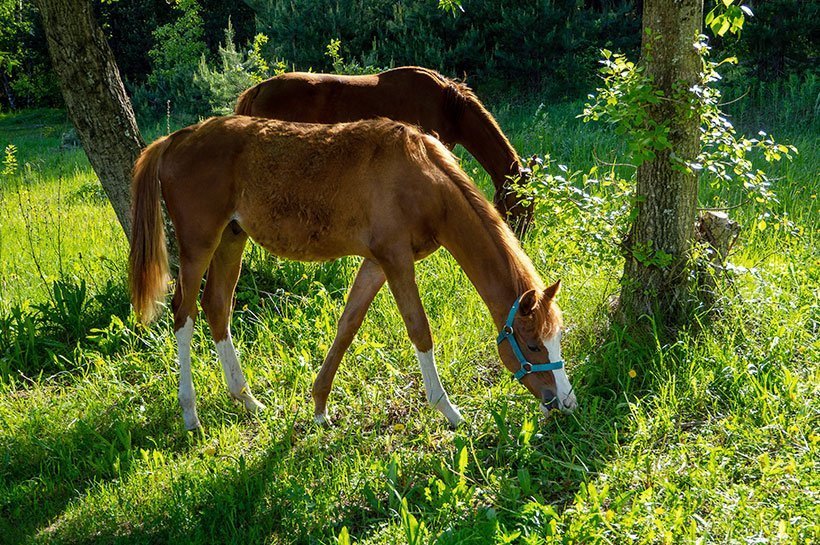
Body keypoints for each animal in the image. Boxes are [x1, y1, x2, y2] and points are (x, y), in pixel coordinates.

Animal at [130, 116, 576, 430]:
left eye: (557, 341)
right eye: (532, 345)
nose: (566, 402)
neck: (421, 177)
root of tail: (175, 140)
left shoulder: (376, 263)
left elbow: (347, 325)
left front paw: (319, 407)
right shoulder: (395, 260)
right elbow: (419, 330)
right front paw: (448, 410)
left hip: (231, 239)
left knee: (217, 307)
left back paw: (248, 399)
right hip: (198, 246)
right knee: (183, 314)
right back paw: (190, 413)